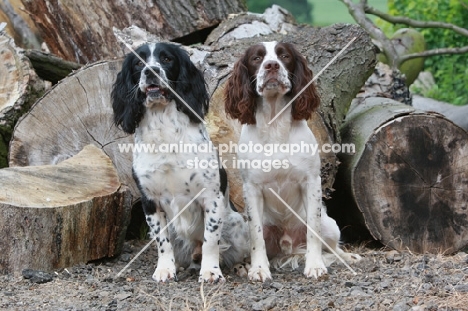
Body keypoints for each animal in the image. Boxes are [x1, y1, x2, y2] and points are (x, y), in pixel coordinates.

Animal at [111, 42, 249, 284]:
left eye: (167, 59)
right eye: (138, 62)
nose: (151, 71)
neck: (164, 129)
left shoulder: (211, 197)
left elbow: (211, 240)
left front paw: (211, 271)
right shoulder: (150, 201)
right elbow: (162, 243)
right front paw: (165, 270)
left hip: (236, 223)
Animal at [225, 41, 360, 282]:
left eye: (284, 56)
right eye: (256, 58)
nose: (271, 65)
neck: (275, 123)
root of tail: (288, 245)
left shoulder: (311, 182)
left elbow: (314, 232)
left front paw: (315, 265)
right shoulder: (251, 188)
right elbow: (257, 236)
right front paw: (259, 269)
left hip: (330, 225)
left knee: (333, 247)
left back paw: (347, 258)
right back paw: (243, 265)